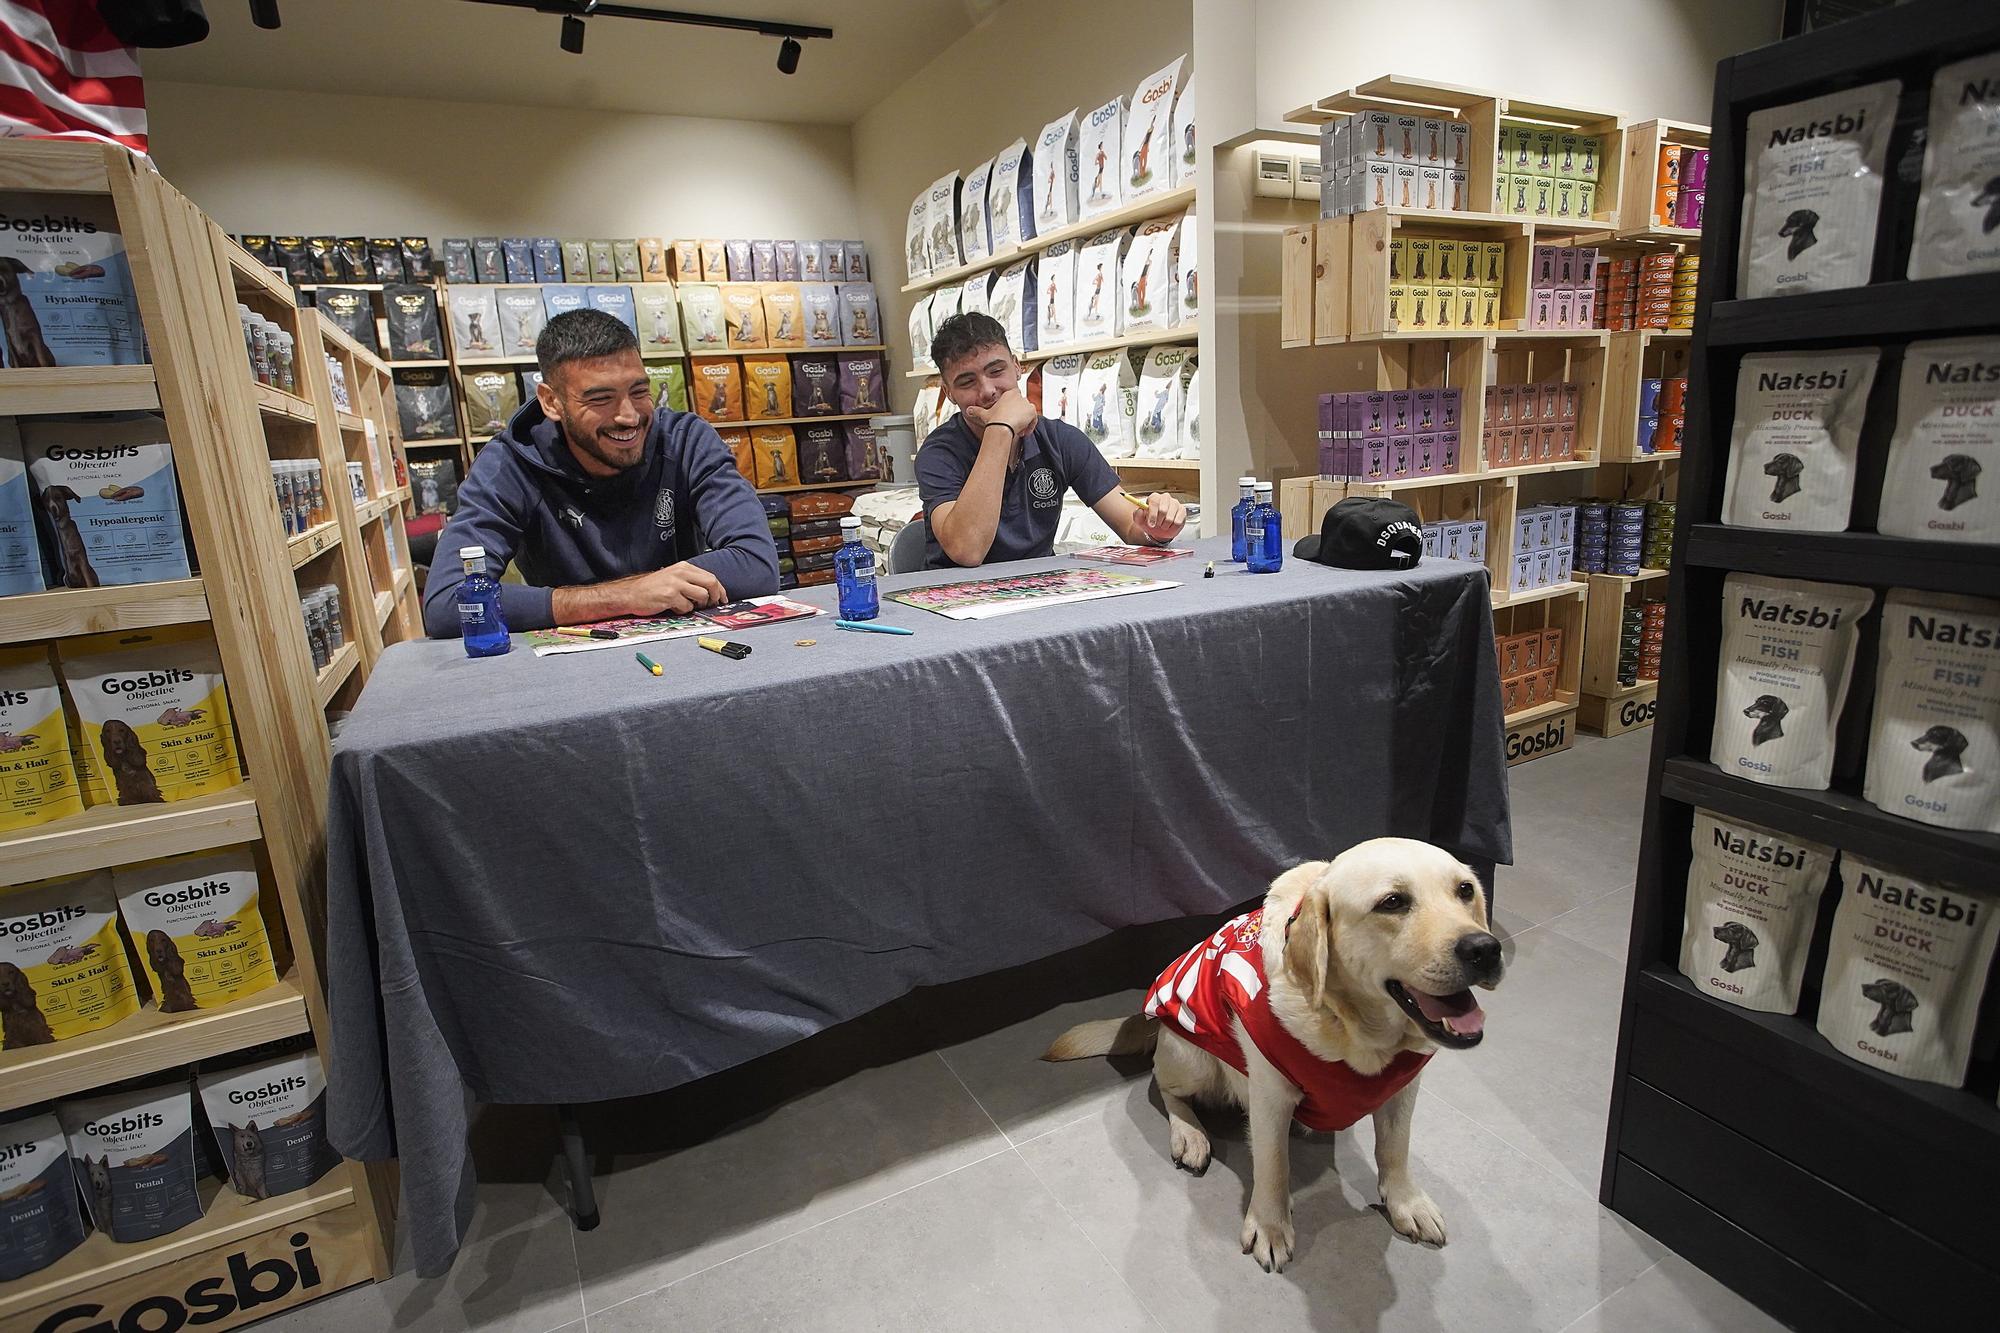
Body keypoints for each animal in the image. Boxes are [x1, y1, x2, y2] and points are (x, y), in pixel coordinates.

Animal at [1048, 840, 1504, 1264]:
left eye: (1465, 890)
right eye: (1392, 903)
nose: (1485, 948)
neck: (1354, 1033)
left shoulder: (1403, 1089)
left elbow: (1395, 1148)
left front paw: (1406, 1203)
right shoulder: (1269, 1096)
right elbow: (1273, 1165)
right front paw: (1270, 1225)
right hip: (1193, 1059)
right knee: (1165, 1089)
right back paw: (1189, 1134)